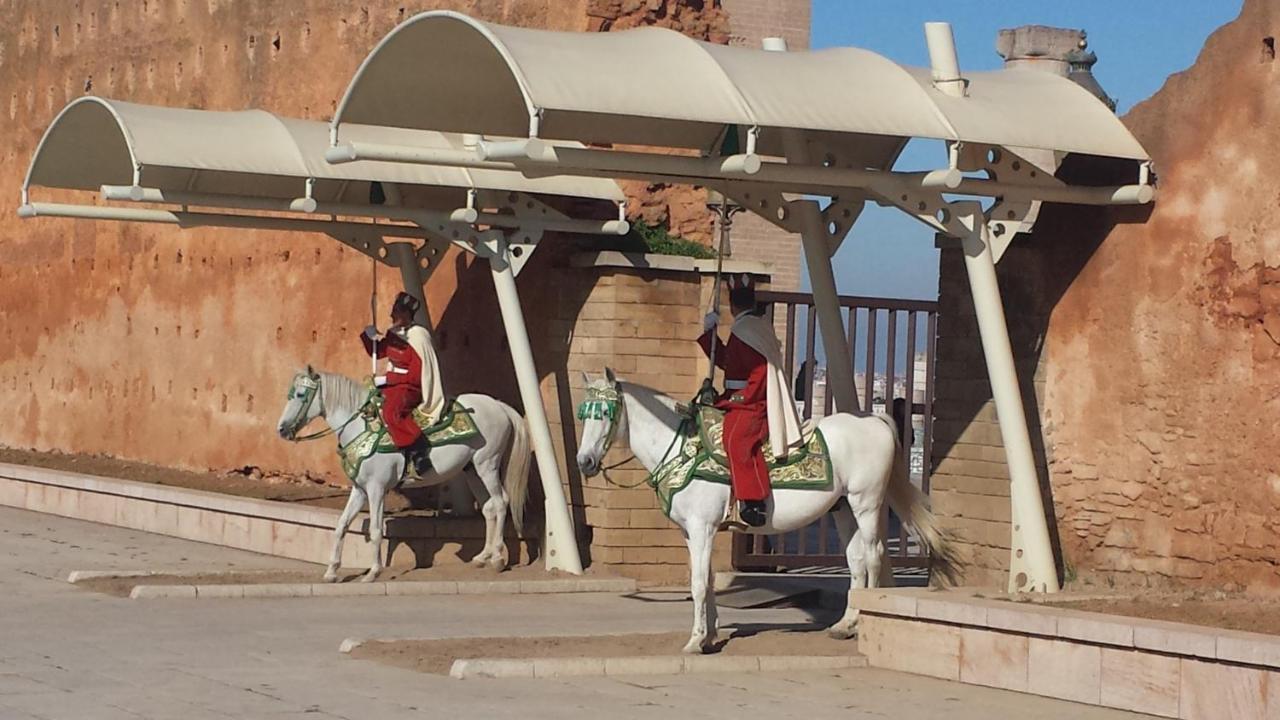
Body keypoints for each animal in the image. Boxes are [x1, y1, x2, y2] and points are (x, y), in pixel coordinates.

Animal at [275, 366, 529, 579]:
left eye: (300, 394)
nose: (282, 429)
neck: (361, 427)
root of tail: (498, 405)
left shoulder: (376, 489)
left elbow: (376, 530)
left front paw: (373, 572)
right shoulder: (359, 490)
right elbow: (341, 526)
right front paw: (331, 572)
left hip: (488, 465)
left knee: (500, 502)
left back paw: (498, 559)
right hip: (472, 470)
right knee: (489, 508)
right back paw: (482, 557)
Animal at [576, 366, 957, 653]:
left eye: (605, 413)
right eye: (584, 414)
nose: (585, 462)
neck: (682, 446)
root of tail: (874, 421)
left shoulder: (702, 528)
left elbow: (698, 583)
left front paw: (697, 640)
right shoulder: (693, 532)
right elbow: (709, 580)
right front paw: (711, 635)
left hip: (866, 503)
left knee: (874, 556)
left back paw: (860, 622)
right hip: (843, 508)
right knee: (857, 561)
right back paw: (845, 623)